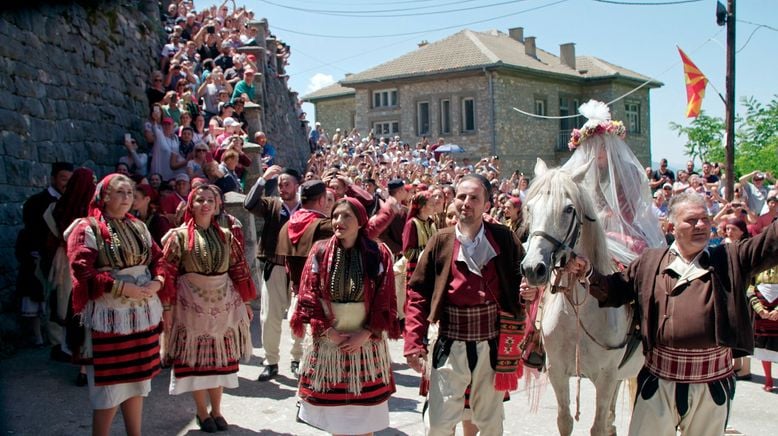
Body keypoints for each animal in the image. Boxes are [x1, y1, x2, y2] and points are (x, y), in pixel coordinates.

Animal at [520, 160, 640, 436]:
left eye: (568, 209)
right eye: (529, 208)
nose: (533, 269)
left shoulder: (605, 377)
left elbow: (597, 427)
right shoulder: (557, 372)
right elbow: (565, 420)